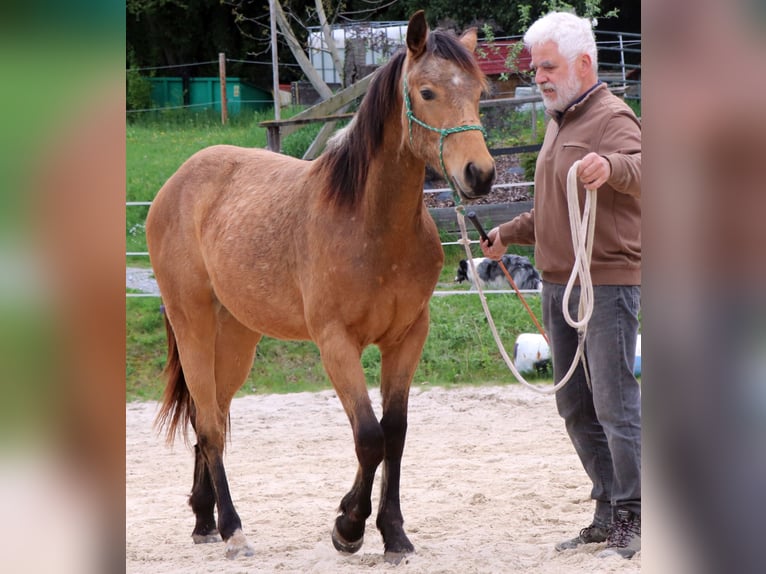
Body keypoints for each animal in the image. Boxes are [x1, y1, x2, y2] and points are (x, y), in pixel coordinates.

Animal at [146, 10, 495, 562]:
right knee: (210, 424)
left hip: (237, 338)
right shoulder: (335, 343)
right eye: (427, 92)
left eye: (479, 91)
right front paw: (349, 526)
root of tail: (174, 186)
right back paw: (231, 528)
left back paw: (204, 519)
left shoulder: (407, 338)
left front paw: (392, 532)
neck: (370, 223)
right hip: (193, 325)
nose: (479, 174)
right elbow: (369, 436)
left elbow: (394, 434)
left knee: (212, 415)